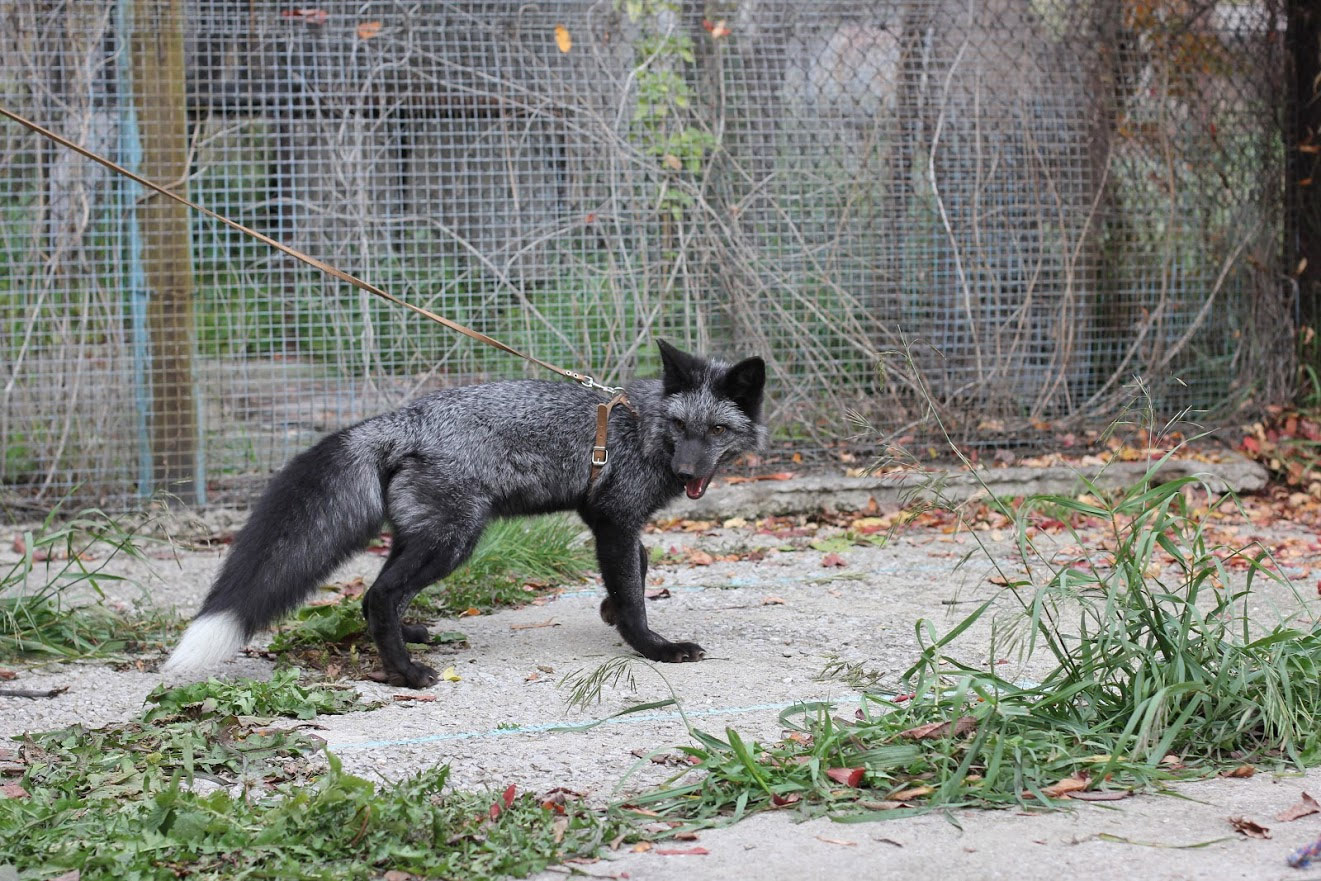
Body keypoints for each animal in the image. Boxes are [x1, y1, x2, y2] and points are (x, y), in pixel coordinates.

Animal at [162, 340, 767, 688]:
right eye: (681, 427)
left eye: (716, 429)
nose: (687, 472)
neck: (643, 427)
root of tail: (401, 419)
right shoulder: (613, 519)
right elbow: (636, 590)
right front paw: (653, 647)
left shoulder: (614, 523)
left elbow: (638, 569)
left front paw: (611, 612)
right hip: (455, 540)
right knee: (380, 594)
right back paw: (406, 675)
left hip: (423, 536)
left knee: (373, 596)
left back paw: (409, 637)